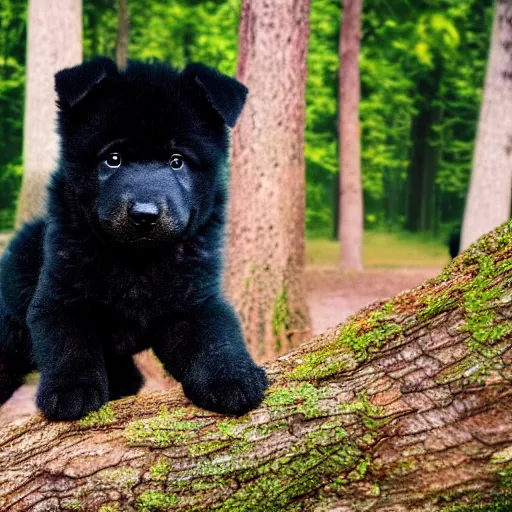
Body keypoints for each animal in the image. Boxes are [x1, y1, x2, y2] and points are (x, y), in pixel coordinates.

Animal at [0, 58, 270, 422]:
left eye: (177, 161)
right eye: (113, 159)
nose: (144, 214)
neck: (137, 263)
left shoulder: (194, 301)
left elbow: (216, 337)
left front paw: (233, 378)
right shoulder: (60, 296)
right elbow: (69, 342)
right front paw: (71, 390)